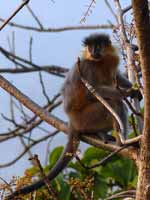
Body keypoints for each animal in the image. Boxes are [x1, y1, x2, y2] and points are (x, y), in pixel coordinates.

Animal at [5, 32, 142, 198]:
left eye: (98, 46)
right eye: (90, 47)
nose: (93, 51)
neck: (100, 60)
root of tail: (72, 121)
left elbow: (117, 76)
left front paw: (134, 89)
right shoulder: (88, 67)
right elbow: (92, 92)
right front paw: (129, 92)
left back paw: (104, 135)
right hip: (87, 118)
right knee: (116, 104)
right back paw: (122, 143)